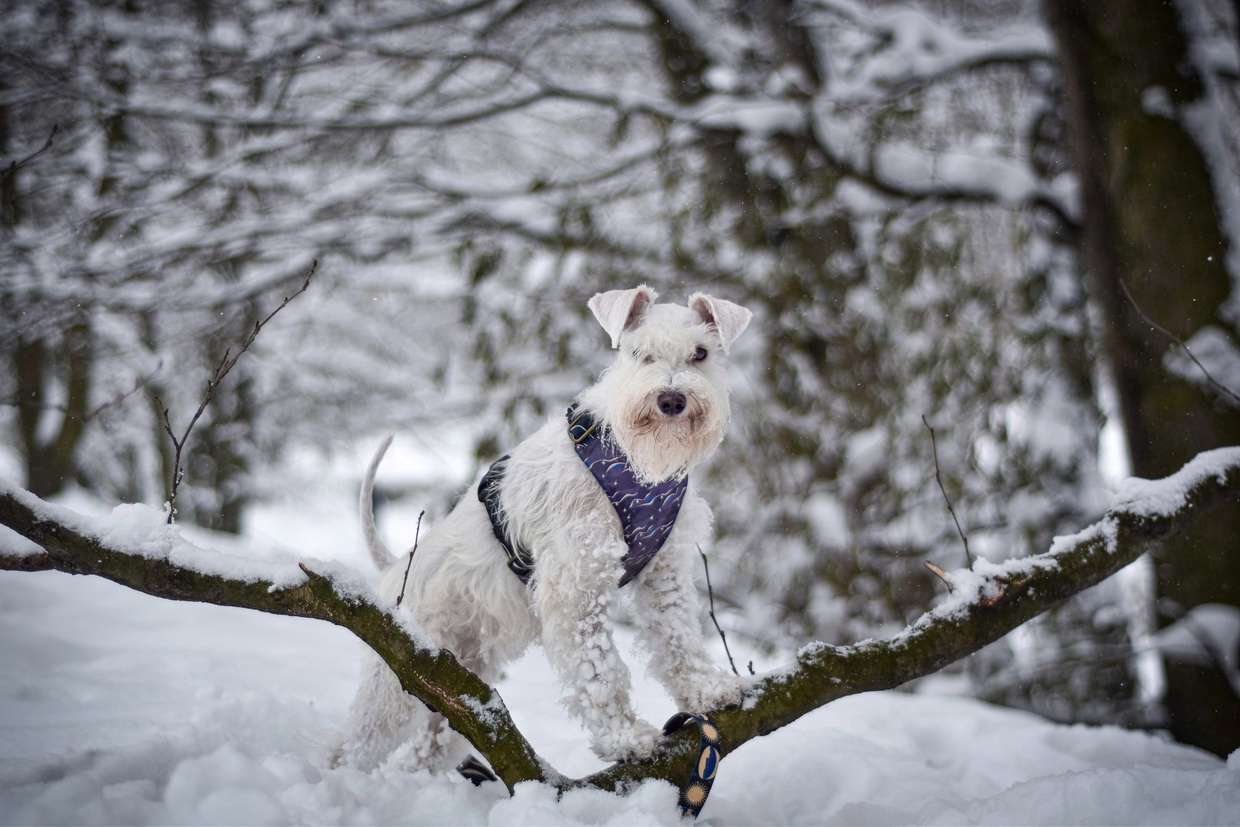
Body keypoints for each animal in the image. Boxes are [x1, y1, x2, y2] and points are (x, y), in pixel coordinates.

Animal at [334, 285, 748, 778]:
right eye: (638, 353)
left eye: (701, 353)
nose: (671, 400)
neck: (634, 465)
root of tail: (396, 568)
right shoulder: (576, 588)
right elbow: (600, 672)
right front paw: (626, 739)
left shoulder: (663, 576)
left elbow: (679, 639)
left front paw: (708, 690)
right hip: (396, 681)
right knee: (348, 746)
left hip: (454, 689)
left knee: (425, 752)